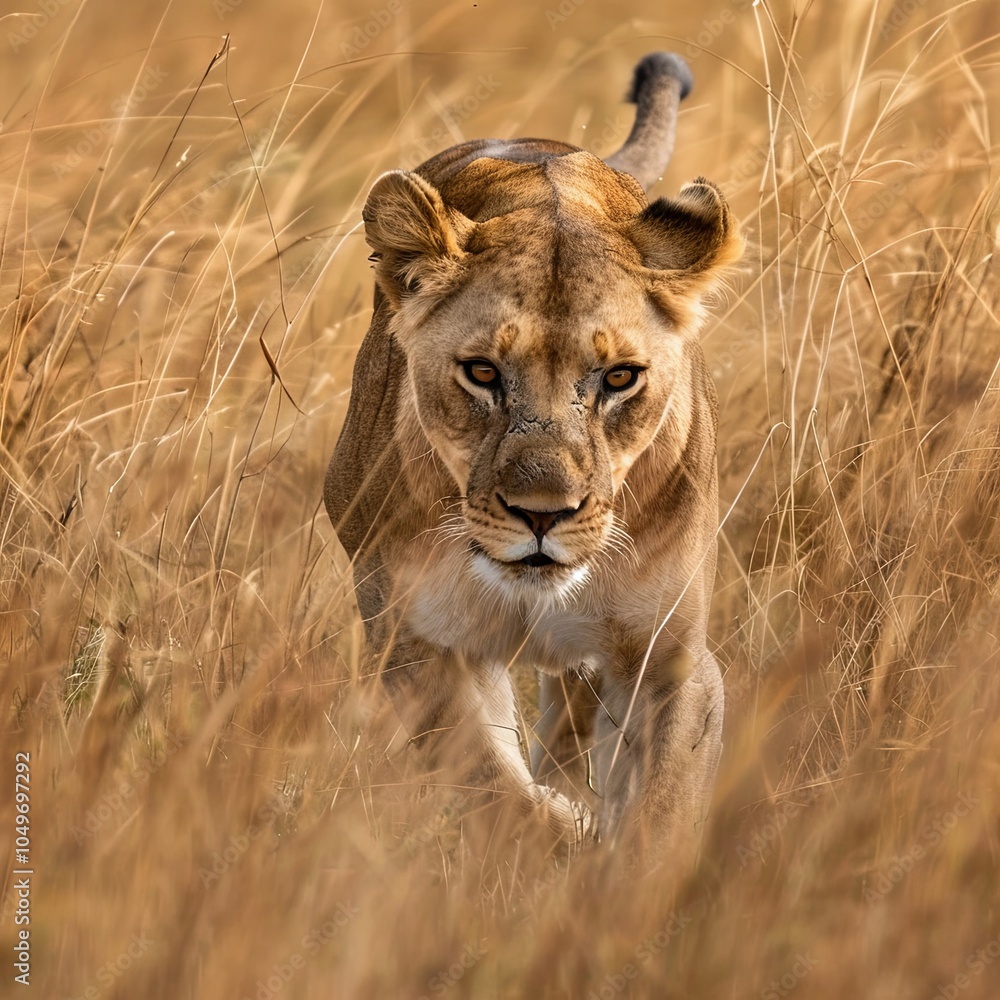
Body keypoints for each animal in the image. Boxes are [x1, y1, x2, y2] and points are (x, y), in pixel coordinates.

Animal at [325, 52, 742, 859]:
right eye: (483, 372)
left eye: (620, 378)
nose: (543, 516)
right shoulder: (413, 635)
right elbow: (491, 783)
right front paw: (566, 827)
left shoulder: (672, 663)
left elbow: (661, 815)